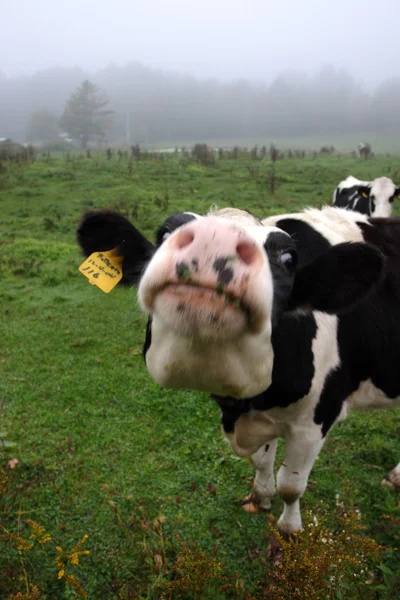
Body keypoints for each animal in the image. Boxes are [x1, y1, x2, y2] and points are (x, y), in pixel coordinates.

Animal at [77, 206, 400, 536]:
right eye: (165, 233)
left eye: (288, 258)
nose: (216, 238)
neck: (247, 402)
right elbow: (261, 461)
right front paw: (260, 497)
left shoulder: (317, 419)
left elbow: (291, 485)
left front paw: (289, 528)